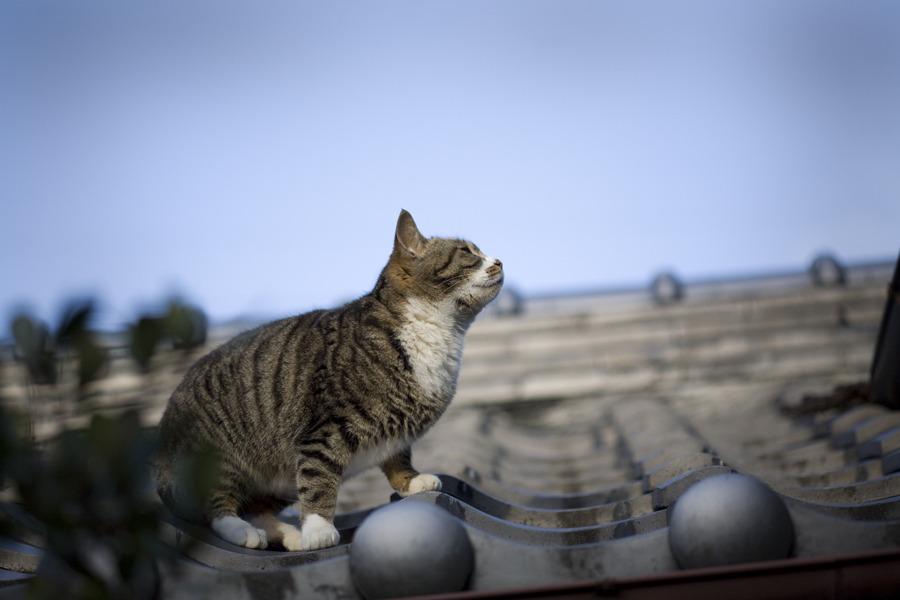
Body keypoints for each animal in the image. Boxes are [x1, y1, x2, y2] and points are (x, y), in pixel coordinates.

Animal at [157, 209, 502, 552]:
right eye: (467, 253)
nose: (499, 261)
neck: (440, 333)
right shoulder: (323, 433)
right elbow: (319, 482)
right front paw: (319, 529)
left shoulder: (396, 430)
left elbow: (398, 456)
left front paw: (411, 481)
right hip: (219, 459)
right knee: (217, 508)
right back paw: (243, 531)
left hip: (280, 477)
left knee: (257, 508)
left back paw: (290, 535)